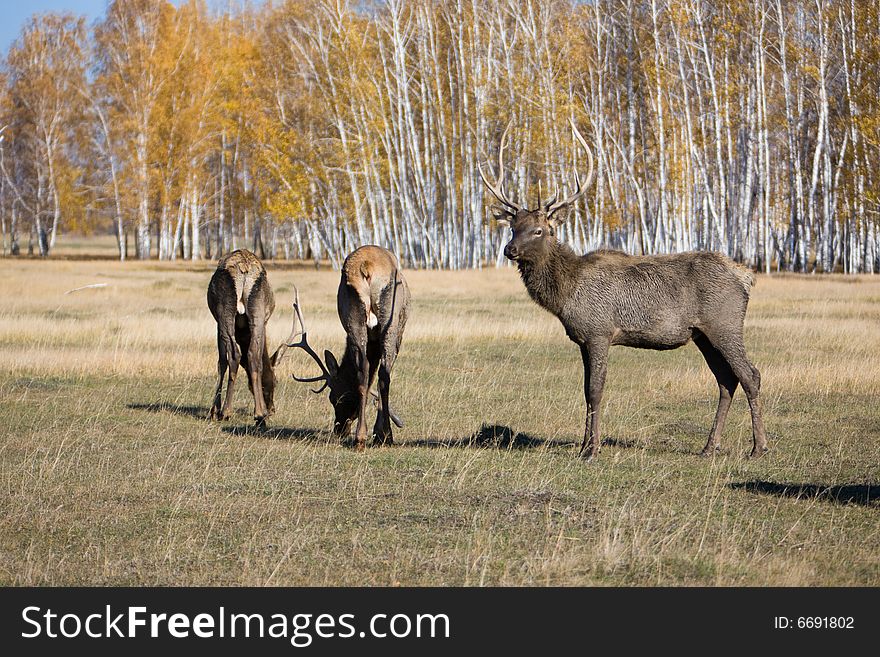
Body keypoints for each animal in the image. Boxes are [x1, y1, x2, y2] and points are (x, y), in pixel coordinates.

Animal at [205, 249, 288, 422]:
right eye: (276, 381)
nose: (272, 409)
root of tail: (244, 268)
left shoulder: (217, 324)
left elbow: (221, 362)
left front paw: (214, 410)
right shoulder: (264, 323)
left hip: (224, 310)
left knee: (234, 354)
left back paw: (226, 411)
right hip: (258, 310)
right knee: (253, 356)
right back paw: (259, 412)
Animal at [278, 246, 410, 452]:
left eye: (335, 398)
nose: (339, 429)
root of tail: (367, 268)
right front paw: (379, 433)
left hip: (354, 317)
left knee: (364, 372)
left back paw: (361, 438)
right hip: (392, 321)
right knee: (383, 374)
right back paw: (385, 436)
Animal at [482, 123, 768, 462]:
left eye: (539, 230)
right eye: (513, 227)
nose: (509, 249)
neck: (566, 294)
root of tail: (746, 277)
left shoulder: (600, 331)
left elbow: (596, 390)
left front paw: (592, 450)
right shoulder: (582, 339)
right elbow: (585, 390)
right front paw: (584, 445)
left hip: (725, 323)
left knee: (750, 375)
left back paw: (758, 447)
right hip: (703, 334)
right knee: (726, 380)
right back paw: (709, 447)